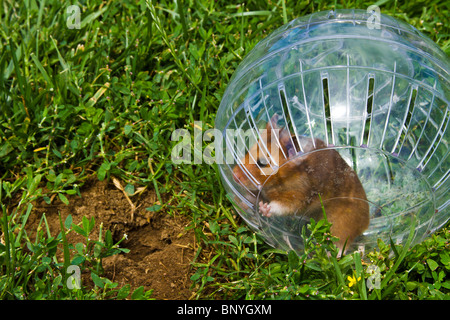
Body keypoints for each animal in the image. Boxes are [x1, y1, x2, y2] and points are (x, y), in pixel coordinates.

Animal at [232, 114, 370, 254]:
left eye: (262, 163)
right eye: (248, 152)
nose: (234, 176)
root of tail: (366, 223)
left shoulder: (297, 198)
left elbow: (280, 206)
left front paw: (264, 208)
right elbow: (252, 197)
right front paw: (241, 203)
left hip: (341, 222)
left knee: (341, 246)